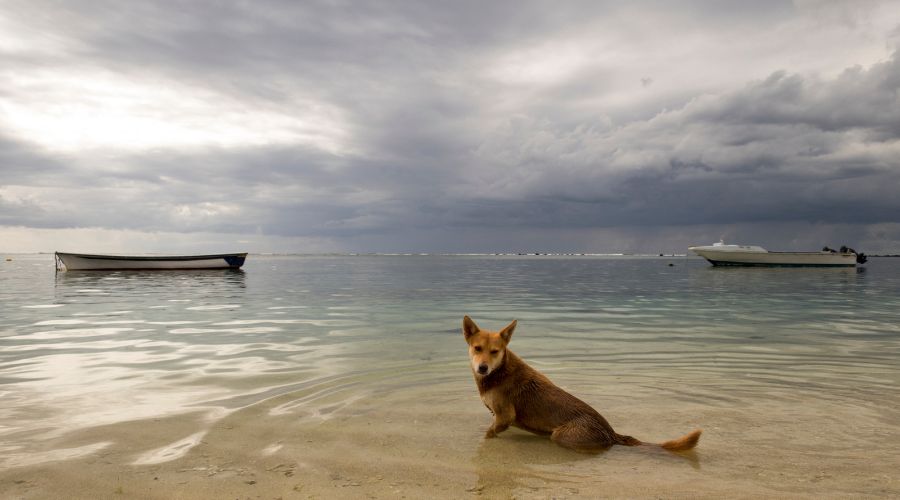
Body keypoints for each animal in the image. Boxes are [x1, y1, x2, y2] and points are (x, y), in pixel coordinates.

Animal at [464, 316, 704, 454]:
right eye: (477, 348)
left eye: (495, 351)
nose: (482, 368)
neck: (499, 371)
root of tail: (611, 433)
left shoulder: (505, 416)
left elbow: (489, 433)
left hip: (561, 435)